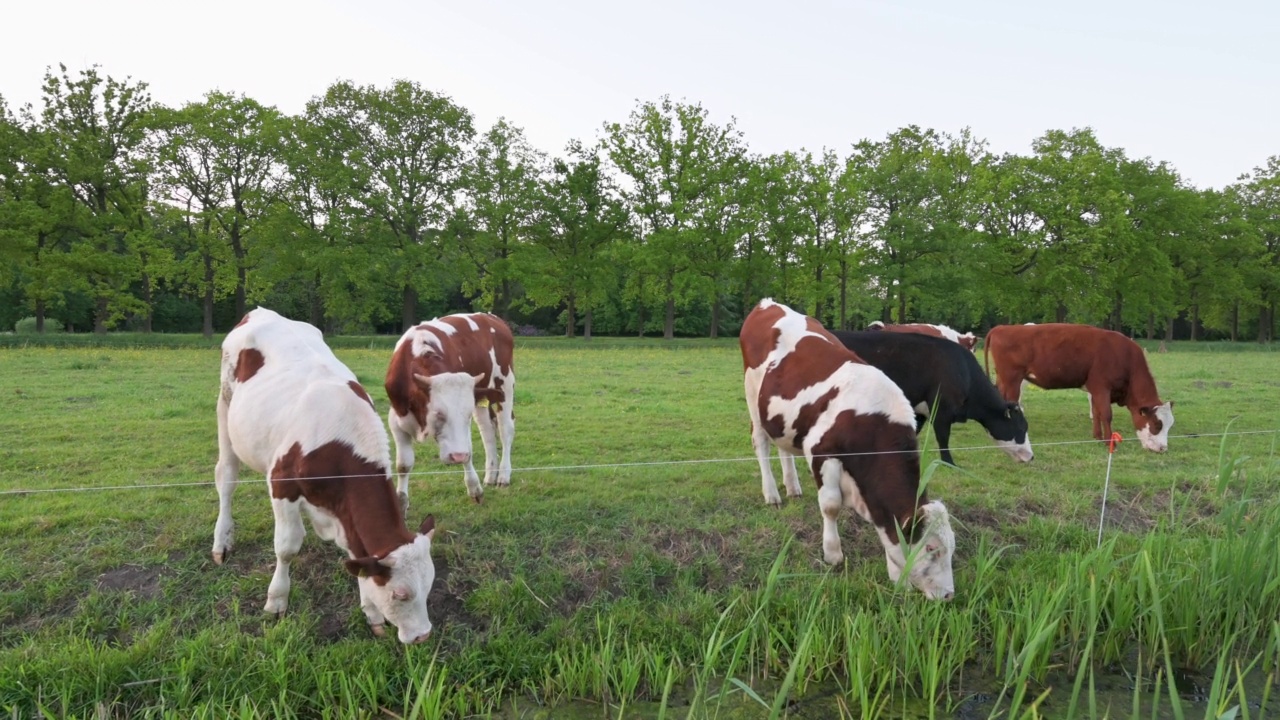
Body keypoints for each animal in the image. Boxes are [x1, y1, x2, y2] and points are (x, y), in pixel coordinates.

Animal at [215, 304, 440, 640]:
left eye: (429, 584)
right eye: (400, 594)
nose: (422, 635)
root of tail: (261, 311)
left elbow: (356, 556)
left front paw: (371, 611)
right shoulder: (282, 483)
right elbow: (286, 547)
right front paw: (277, 600)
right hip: (226, 406)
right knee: (226, 477)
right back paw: (221, 542)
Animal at [384, 311, 514, 502]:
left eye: (466, 415)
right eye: (439, 413)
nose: (457, 456)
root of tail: (491, 317)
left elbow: (468, 451)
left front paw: (474, 488)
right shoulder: (396, 419)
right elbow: (403, 465)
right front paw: (401, 501)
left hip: (505, 385)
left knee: (506, 430)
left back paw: (503, 475)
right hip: (481, 398)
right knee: (488, 432)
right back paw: (490, 475)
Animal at [737, 298, 957, 599]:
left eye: (952, 546)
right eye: (932, 548)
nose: (948, 594)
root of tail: (768, 303)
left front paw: (895, 574)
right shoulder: (823, 453)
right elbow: (830, 506)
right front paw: (833, 555)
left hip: (783, 416)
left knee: (782, 445)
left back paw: (792, 487)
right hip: (752, 397)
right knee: (760, 442)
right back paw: (772, 494)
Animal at [834, 330, 1034, 466]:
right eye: (1021, 428)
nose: (1031, 456)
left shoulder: (919, 410)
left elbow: (913, 433)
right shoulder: (942, 411)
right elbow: (943, 439)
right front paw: (949, 463)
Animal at [983, 322, 1172, 450]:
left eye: (1170, 426)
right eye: (1157, 425)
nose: (1163, 449)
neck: (1123, 356)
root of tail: (1002, 328)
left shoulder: (1095, 390)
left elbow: (1097, 413)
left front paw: (1097, 437)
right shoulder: (1102, 387)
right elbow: (1106, 414)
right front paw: (1109, 441)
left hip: (1004, 379)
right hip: (1012, 379)